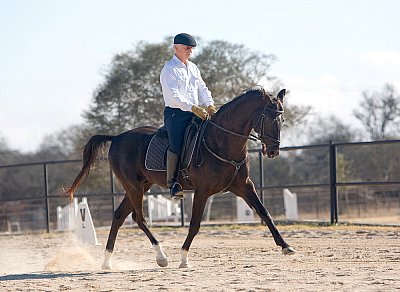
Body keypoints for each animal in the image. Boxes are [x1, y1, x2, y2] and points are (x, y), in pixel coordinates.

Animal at [65, 85, 296, 268]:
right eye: (269, 118)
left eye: (282, 119)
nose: (273, 151)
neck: (221, 141)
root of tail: (116, 138)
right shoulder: (203, 191)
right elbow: (194, 225)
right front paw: (184, 258)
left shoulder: (244, 186)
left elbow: (265, 213)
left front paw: (286, 246)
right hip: (133, 187)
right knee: (139, 218)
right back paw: (161, 257)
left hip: (141, 186)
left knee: (119, 216)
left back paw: (106, 262)